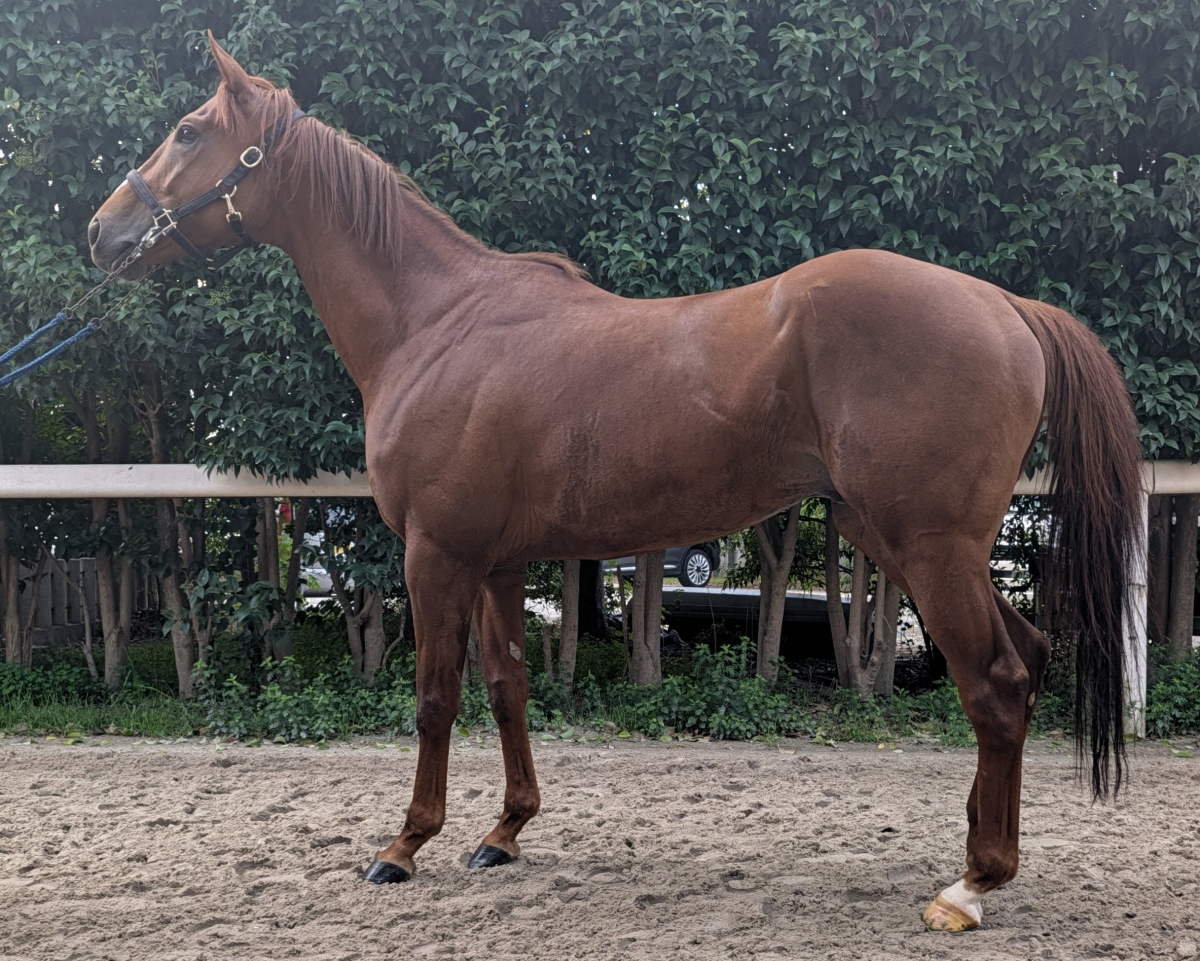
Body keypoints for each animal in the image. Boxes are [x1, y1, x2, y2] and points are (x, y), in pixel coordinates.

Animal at [88, 33, 1143, 933]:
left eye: (188, 130)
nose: (103, 230)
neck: (438, 321)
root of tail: (1004, 304)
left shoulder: (437, 554)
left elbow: (433, 697)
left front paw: (403, 844)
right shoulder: (497, 562)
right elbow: (508, 686)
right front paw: (502, 833)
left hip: (931, 544)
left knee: (996, 682)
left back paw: (971, 886)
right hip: (908, 540)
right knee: (1025, 658)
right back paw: (980, 850)